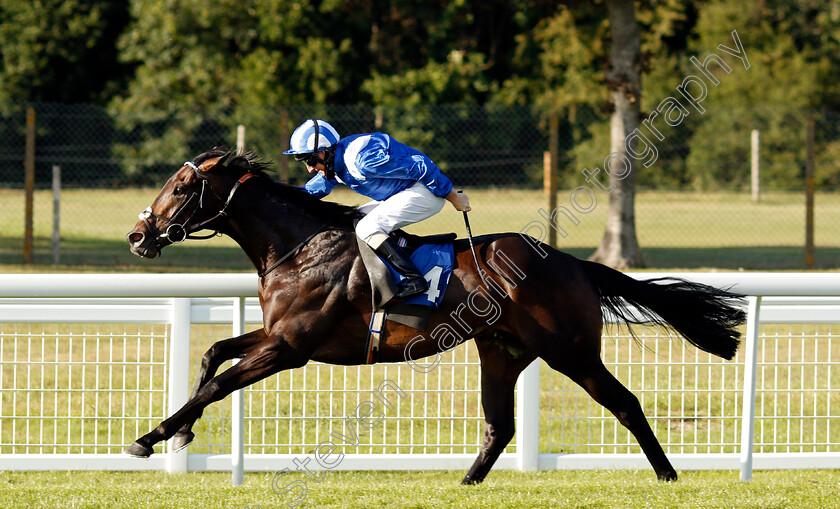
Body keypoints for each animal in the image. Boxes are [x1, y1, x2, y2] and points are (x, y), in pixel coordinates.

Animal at [123, 148, 740, 484]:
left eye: (182, 186)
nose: (137, 235)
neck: (299, 248)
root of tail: (572, 262)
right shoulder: (278, 335)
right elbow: (212, 354)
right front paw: (179, 433)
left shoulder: (290, 348)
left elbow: (219, 383)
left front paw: (152, 436)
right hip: (503, 350)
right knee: (499, 425)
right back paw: (466, 484)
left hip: (570, 350)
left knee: (625, 402)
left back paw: (667, 474)